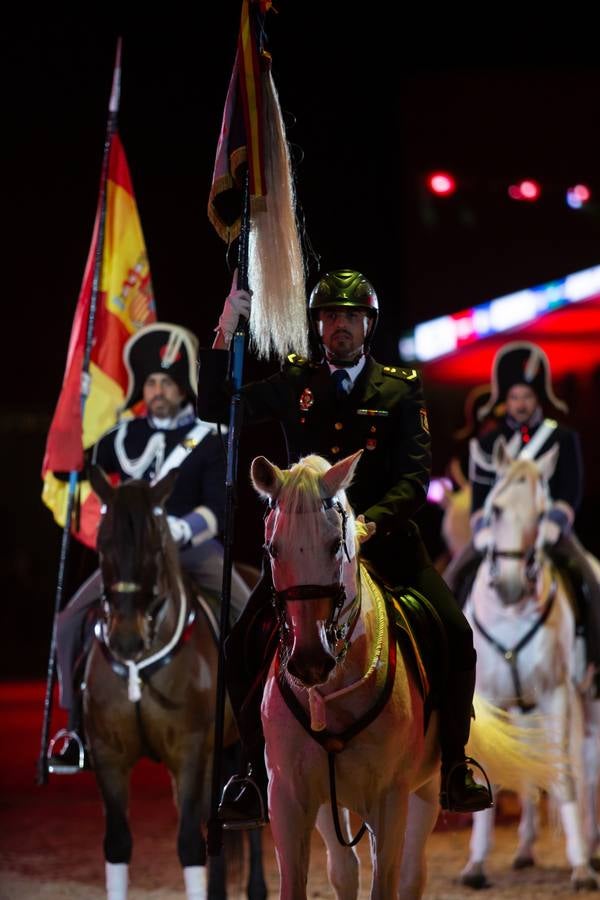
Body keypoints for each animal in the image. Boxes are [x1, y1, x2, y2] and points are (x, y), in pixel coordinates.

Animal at [85, 468, 266, 900]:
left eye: (155, 546)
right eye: (102, 544)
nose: (126, 639)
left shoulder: (190, 752)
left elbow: (188, 844)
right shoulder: (107, 754)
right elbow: (118, 843)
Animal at [248, 450, 552, 900]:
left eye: (335, 545)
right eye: (272, 548)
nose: (309, 661)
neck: (334, 691)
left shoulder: (390, 800)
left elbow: (387, 883)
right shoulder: (290, 798)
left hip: (424, 791)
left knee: (410, 876)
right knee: (344, 871)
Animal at [460, 440, 600, 888]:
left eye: (542, 516)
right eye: (496, 509)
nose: (510, 584)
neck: (511, 615)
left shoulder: (555, 695)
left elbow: (564, 776)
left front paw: (580, 866)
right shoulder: (486, 700)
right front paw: (475, 864)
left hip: (586, 702)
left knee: (587, 764)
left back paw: (590, 846)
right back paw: (523, 850)